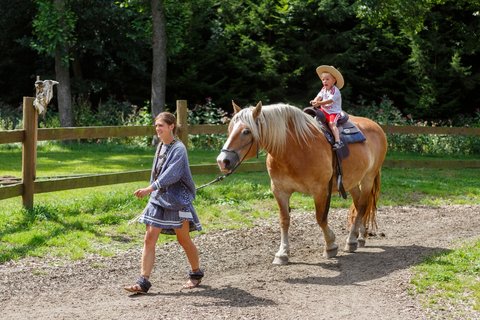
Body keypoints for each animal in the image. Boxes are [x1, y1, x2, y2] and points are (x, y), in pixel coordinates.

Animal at [216, 101, 388, 264]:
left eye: (246, 131)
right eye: (229, 129)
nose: (222, 161)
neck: (294, 149)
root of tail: (376, 126)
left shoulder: (320, 191)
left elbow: (321, 218)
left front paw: (330, 245)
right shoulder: (279, 191)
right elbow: (284, 221)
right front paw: (282, 253)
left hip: (368, 178)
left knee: (363, 206)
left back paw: (352, 240)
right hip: (351, 182)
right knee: (359, 205)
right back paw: (360, 237)